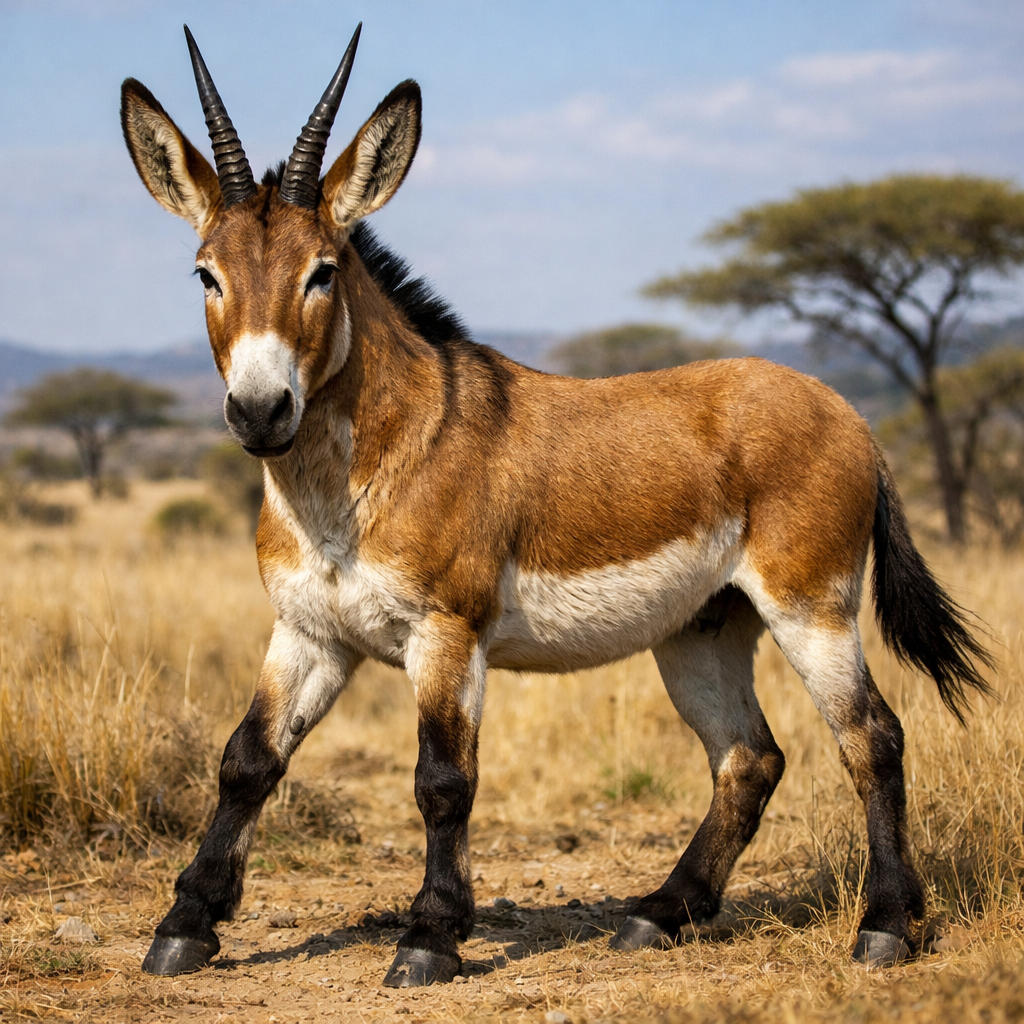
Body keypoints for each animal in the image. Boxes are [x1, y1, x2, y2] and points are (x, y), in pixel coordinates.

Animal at [121, 25, 992, 988]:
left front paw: (430, 937)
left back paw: (885, 927)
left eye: (322, 272)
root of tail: (851, 415)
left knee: (871, 737)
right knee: (748, 757)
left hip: (813, 611)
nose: (260, 411)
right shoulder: (310, 633)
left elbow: (443, 780)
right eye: (206, 274)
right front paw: (185, 926)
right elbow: (248, 759)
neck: (363, 476)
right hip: (702, 632)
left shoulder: (446, 636)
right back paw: (657, 914)